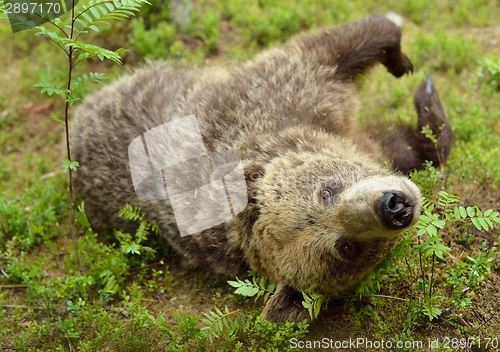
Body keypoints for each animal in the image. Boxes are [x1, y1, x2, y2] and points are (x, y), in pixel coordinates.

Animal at [69, 15, 454, 322]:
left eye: (326, 191)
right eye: (345, 248)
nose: (394, 206)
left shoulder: (287, 98)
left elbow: (337, 49)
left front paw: (408, 70)